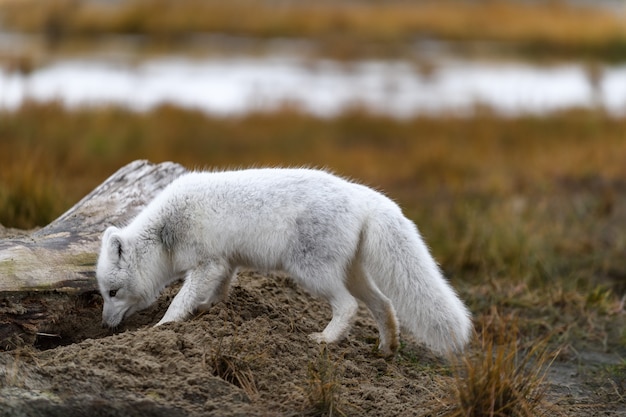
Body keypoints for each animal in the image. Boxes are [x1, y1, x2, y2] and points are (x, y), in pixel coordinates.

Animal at [95, 167, 470, 354]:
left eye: (112, 293)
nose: (104, 325)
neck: (165, 231)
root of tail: (363, 196)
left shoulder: (207, 262)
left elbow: (180, 299)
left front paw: (164, 327)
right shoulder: (225, 262)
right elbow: (220, 289)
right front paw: (209, 308)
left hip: (311, 272)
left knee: (349, 306)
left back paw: (326, 340)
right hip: (352, 273)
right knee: (384, 304)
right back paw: (387, 347)